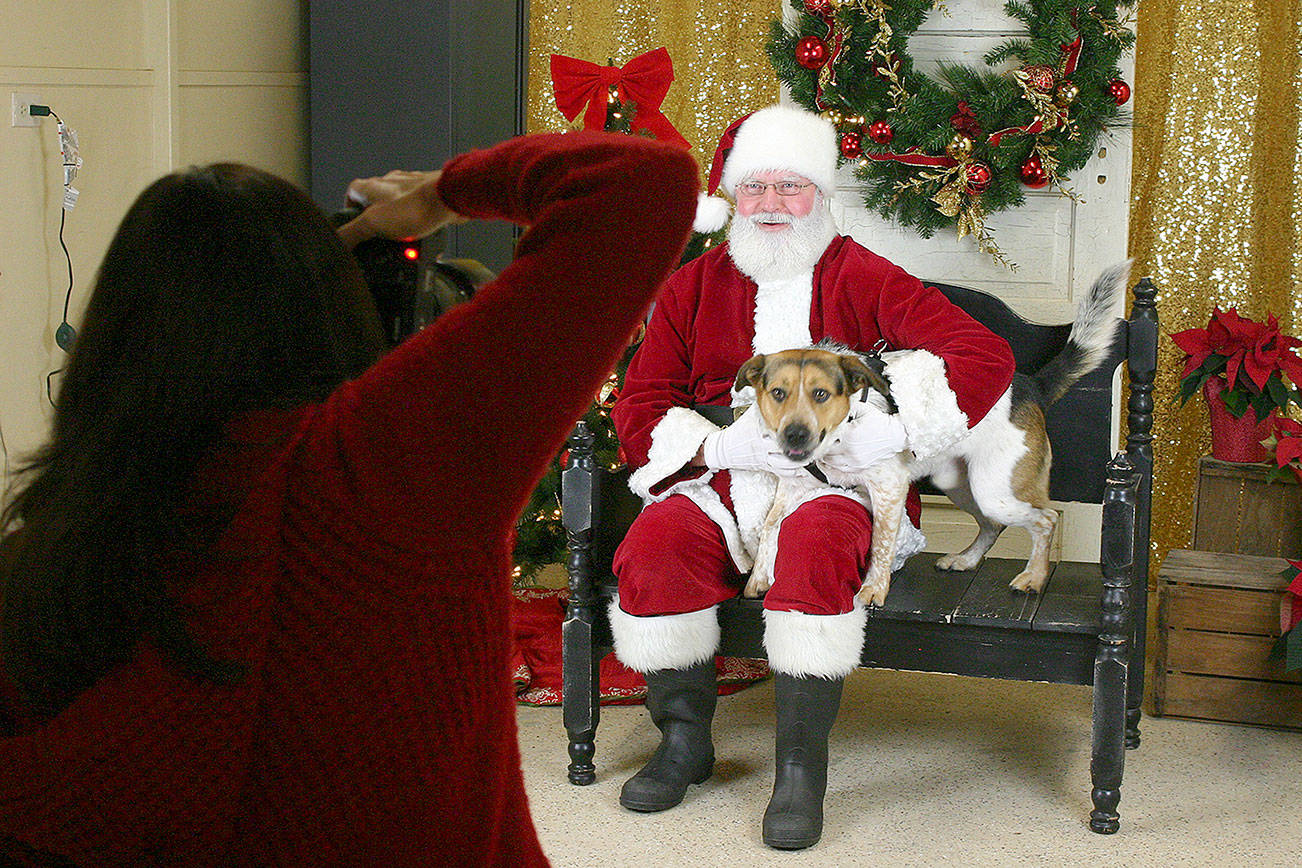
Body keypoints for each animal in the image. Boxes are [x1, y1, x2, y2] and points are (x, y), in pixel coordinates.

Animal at [734, 261, 1130, 609]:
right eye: (777, 393)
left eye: (821, 394)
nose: (795, 438)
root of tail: (1032, 384)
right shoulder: (793, 486)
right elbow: (769, 526)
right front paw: (759, 577)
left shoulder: (889, 488)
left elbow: (881, 544)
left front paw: (873, 590)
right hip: (957, 482)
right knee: (992, 525)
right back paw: (966, 560)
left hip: (994, 490)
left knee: (1045, 519)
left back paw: (1033, 577)